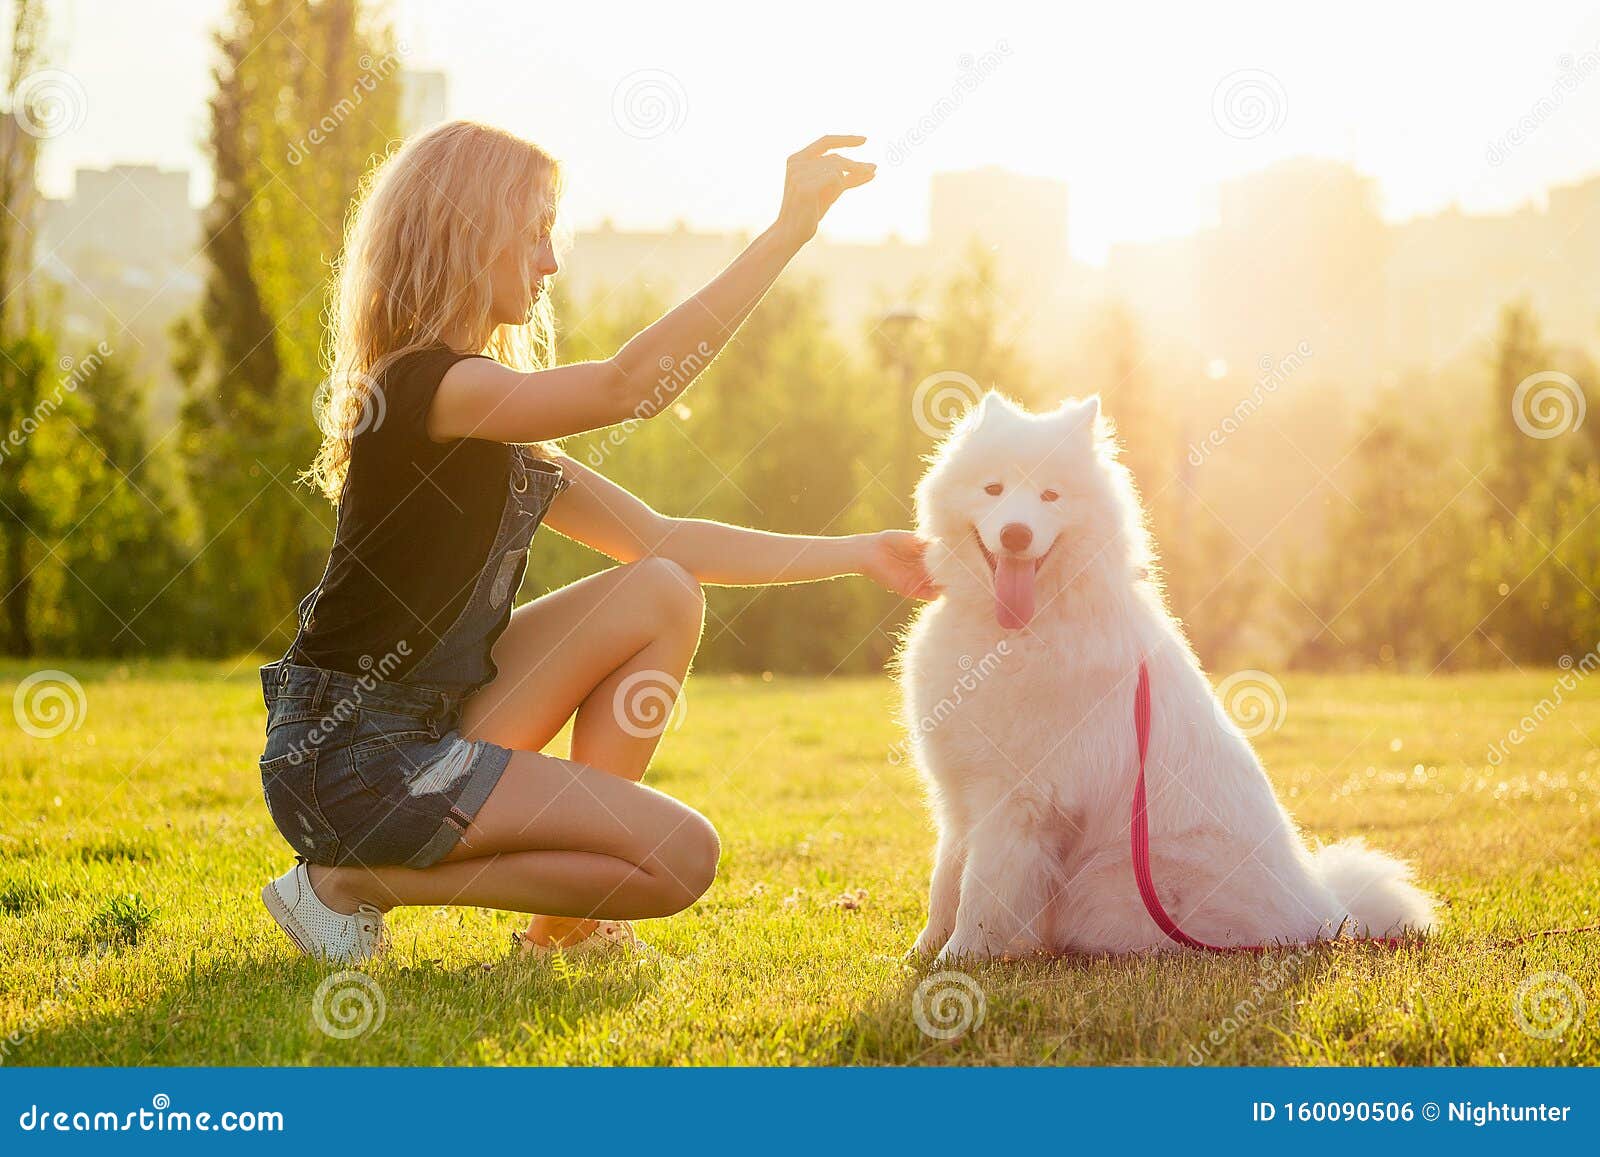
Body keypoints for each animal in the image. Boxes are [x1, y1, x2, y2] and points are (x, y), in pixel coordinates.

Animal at [902, 393, 1440, 966]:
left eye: (1050, 495)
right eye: (993, 489)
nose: (1016, 534)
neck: (1017, 630)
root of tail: (1330, 919)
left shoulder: (1019, 800)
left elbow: (982, 893)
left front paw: (957, 960)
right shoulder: (960, 794)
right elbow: (946, 879)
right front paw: (921, 950)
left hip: (1107, 881)